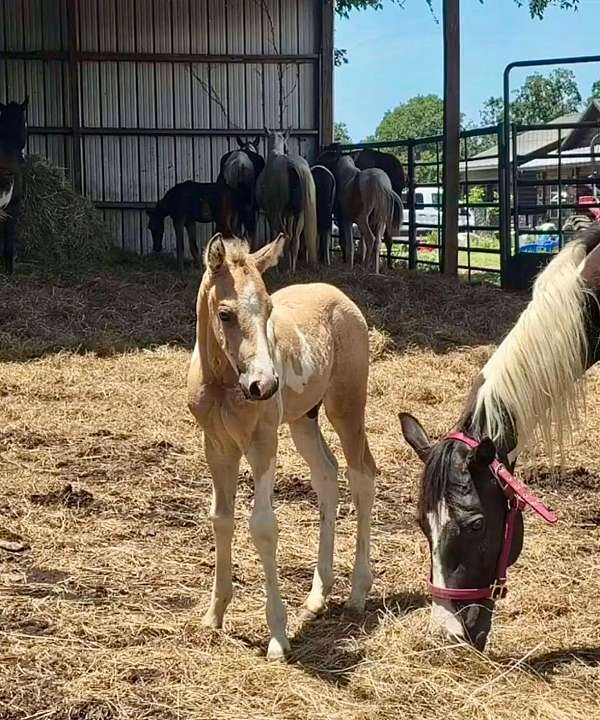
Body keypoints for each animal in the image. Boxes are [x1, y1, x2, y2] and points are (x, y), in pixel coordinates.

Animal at [187, 233, 376, 660]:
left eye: (269, 308)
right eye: (225, 314)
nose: (265, 385)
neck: (224, 383)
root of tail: (340, 296)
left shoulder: (263, 442)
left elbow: (263, 526)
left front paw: (277, 634)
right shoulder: (216, 446)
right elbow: (221, 518)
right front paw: (214, 614)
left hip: (346, 409)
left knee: (362, 476)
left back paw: (357, 592)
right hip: (304, 419)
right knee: (327, 474)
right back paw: (318, 594)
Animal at [256, 129, 318, 272]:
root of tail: (291, 164)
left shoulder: (271, 212)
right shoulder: (289, 214)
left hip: (278, 212)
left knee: (285, 236)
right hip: (299, 214)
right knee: (294, 238)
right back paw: (292, 268)